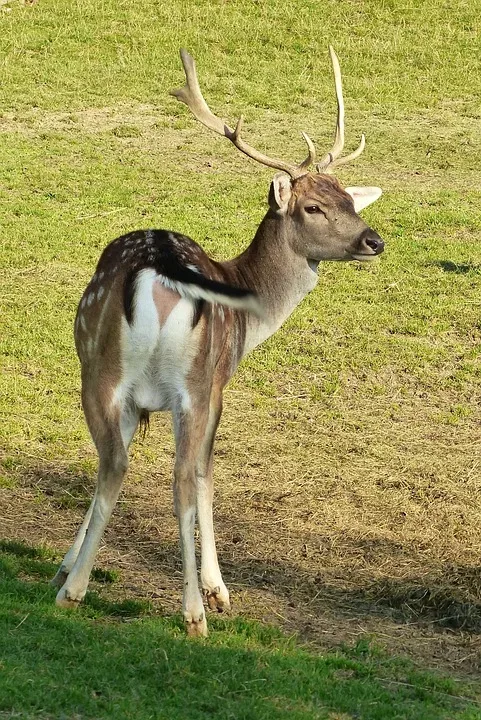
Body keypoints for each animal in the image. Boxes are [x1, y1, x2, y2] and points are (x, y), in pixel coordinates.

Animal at [50, 46, 384, 636]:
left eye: (348, 199)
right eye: (313, 207)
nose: (374, 240)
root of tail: (160, 268)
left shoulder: (136, 403)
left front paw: (67, 563)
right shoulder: (220, 385)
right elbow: (207, 473)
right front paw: (215, 588)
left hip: (101, 369)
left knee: (114, 463)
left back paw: (74, 590)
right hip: (192, 382)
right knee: (184, 477)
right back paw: (193, 613)